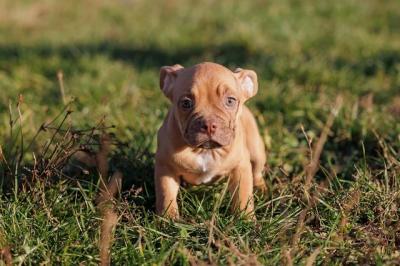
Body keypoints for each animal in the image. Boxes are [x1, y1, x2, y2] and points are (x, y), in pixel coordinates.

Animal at [155, 62, 266, 218]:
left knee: (257, 172)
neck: (205, 150)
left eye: (230, 101)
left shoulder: (241, 167)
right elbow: (166, 195)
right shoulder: (165, 167)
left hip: (257, 152)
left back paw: (262, 189)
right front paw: (168, 219)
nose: (209, 124)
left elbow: (242, 196)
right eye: (186, 103)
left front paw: (245, 219)